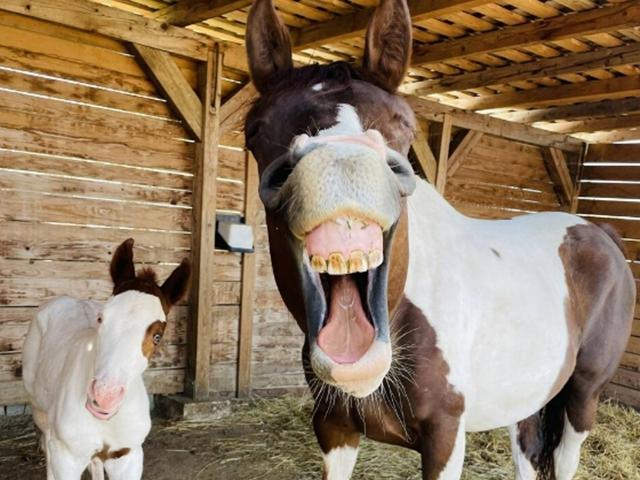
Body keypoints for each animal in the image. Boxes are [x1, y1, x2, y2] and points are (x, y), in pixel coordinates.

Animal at [20, 238, 190, 478]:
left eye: (158, 336)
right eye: (101, 318)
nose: (104, 396)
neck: (107, 419)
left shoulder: (129, 457)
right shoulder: (67, 458)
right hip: (40, 412)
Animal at [244, 1, 636, 478]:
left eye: (404, 125)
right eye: (255, 128)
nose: (341, 165)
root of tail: (600, 232)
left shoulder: (445, 436)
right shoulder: (334, 427)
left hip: (583, 394)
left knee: (565, 456)